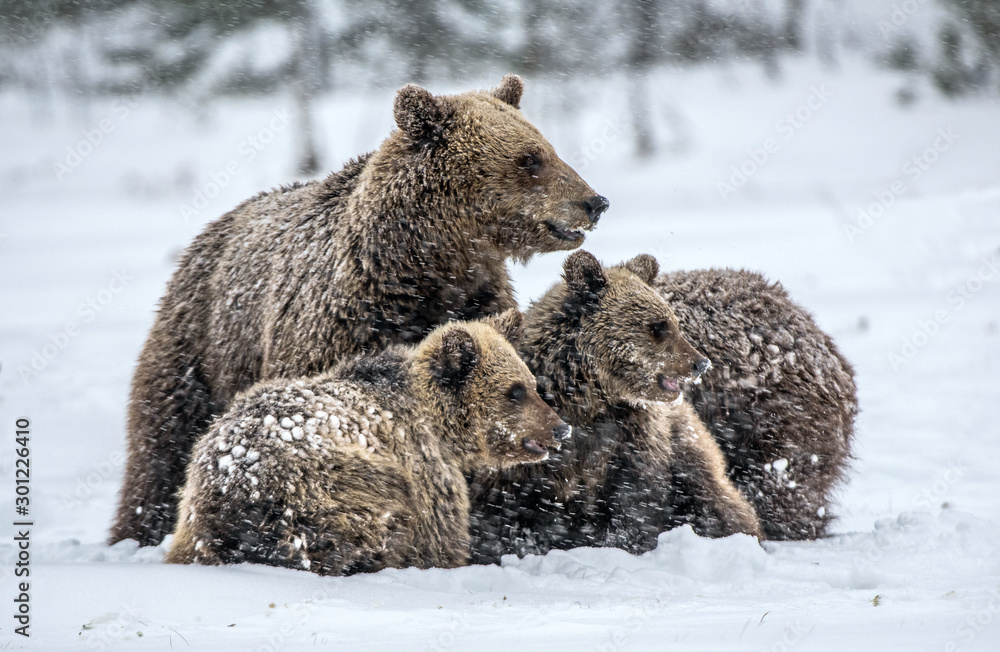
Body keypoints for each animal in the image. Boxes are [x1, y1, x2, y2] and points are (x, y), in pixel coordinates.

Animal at [112, 74, 607, 546]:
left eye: (547, 148)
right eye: (530, 159)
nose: (595, 201)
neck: (428, 268)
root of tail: (215, 227)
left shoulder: (477, 301)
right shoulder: (342, 328)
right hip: (200, 343)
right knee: (162, 442)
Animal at [165, 312, 570, 575]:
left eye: (531, 384)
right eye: (514, 392)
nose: (561, 428)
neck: (438, 425)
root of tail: (238, 487)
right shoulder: (426, 472)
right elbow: (440, 539)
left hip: (196, 505)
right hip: (328, 486)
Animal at [469, 251, 761, 564]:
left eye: (673, 321)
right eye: (658, 326)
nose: (700, 363)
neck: (587, 398)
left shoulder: (631, 439)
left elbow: (634, 500)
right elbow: (509, 505)